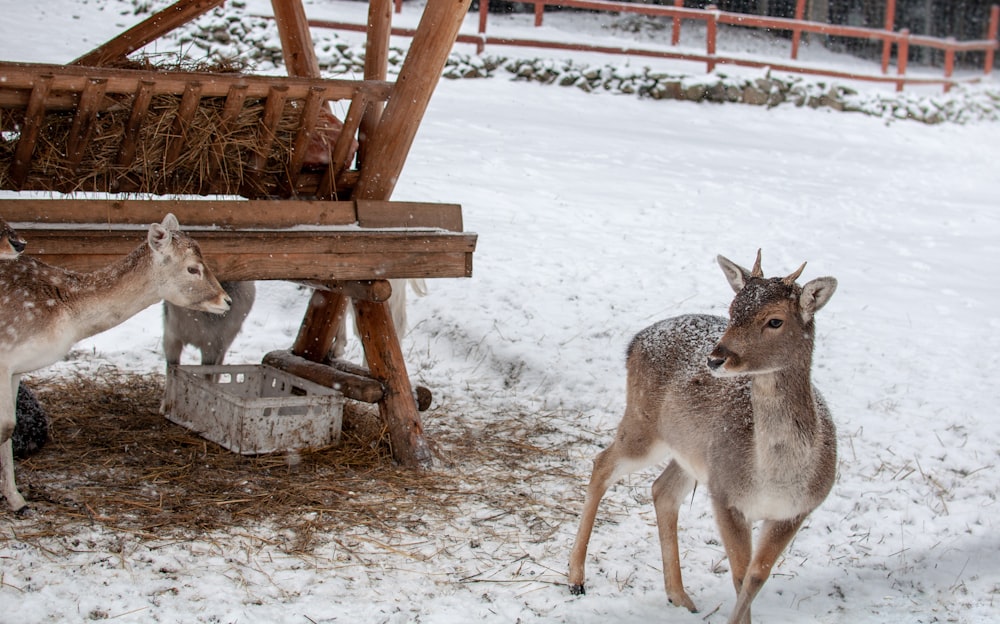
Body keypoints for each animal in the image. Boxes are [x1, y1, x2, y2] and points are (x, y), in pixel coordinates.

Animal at [0, 212, 229, 510]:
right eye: (192, 269)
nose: (226, 300)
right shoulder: (4, 357)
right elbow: (5, 428)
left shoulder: (16, 368)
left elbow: (11, 426)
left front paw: (17, 499)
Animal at [572, 251, 836, 624]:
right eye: (732, 309)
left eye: (775, 321)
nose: (716, 358)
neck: (775, 479)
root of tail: (635, 341)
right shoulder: (725, 495)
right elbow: (740, 576)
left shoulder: (798, 510)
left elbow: (756, 577)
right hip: (643, 423)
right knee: (602, 463)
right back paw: (576, 578)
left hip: (692, 454)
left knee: (662, 490)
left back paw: (679, 596)